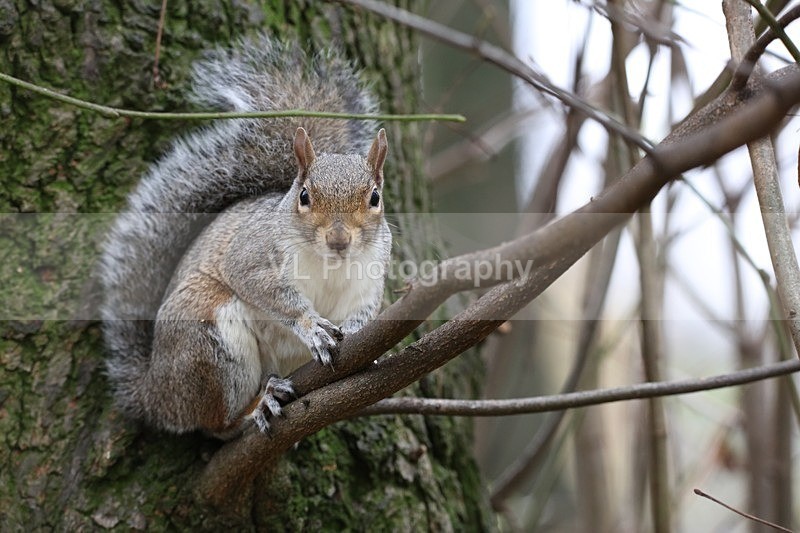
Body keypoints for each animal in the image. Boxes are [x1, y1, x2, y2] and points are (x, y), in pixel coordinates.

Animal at [99, 36, 392, 440]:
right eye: (304, 196)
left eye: (375, 198)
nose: (338, 240)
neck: (330, 263)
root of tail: (157, 395)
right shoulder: (252, 252)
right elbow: (263, 287)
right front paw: (312, 326)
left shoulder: (371, 274)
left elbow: (365, 310)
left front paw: (360, 338)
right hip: (209, 338)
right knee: (218, 426)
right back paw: (258, 405)